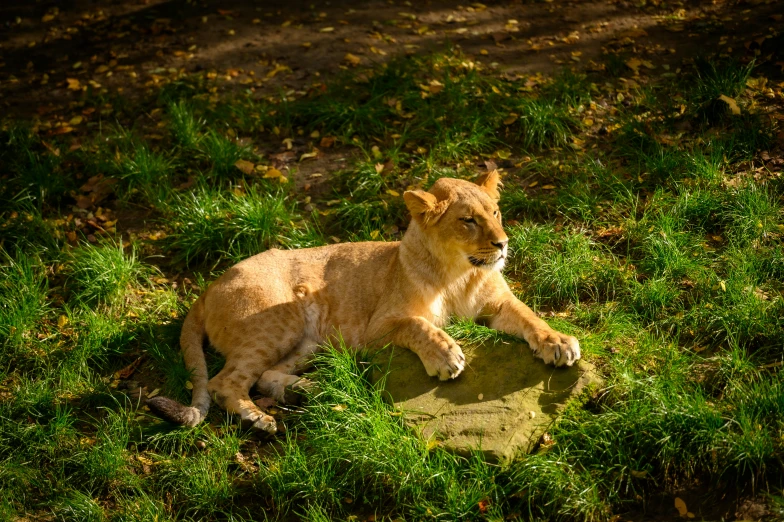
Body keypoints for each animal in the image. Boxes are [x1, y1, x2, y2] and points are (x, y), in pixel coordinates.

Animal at [147, 171, 580, 430]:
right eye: (468, 220)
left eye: (496, 212)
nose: (503, 244)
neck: (459, 274)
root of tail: (206, 289)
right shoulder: (376, 330)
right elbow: (418, 324)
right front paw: (445, 355)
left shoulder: (498, 305)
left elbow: (530, 316)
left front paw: (559, 343)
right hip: (280, 319)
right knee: (224, 381)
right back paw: (261, 419)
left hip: (307, 340)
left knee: (265, 375)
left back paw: (315, 390)